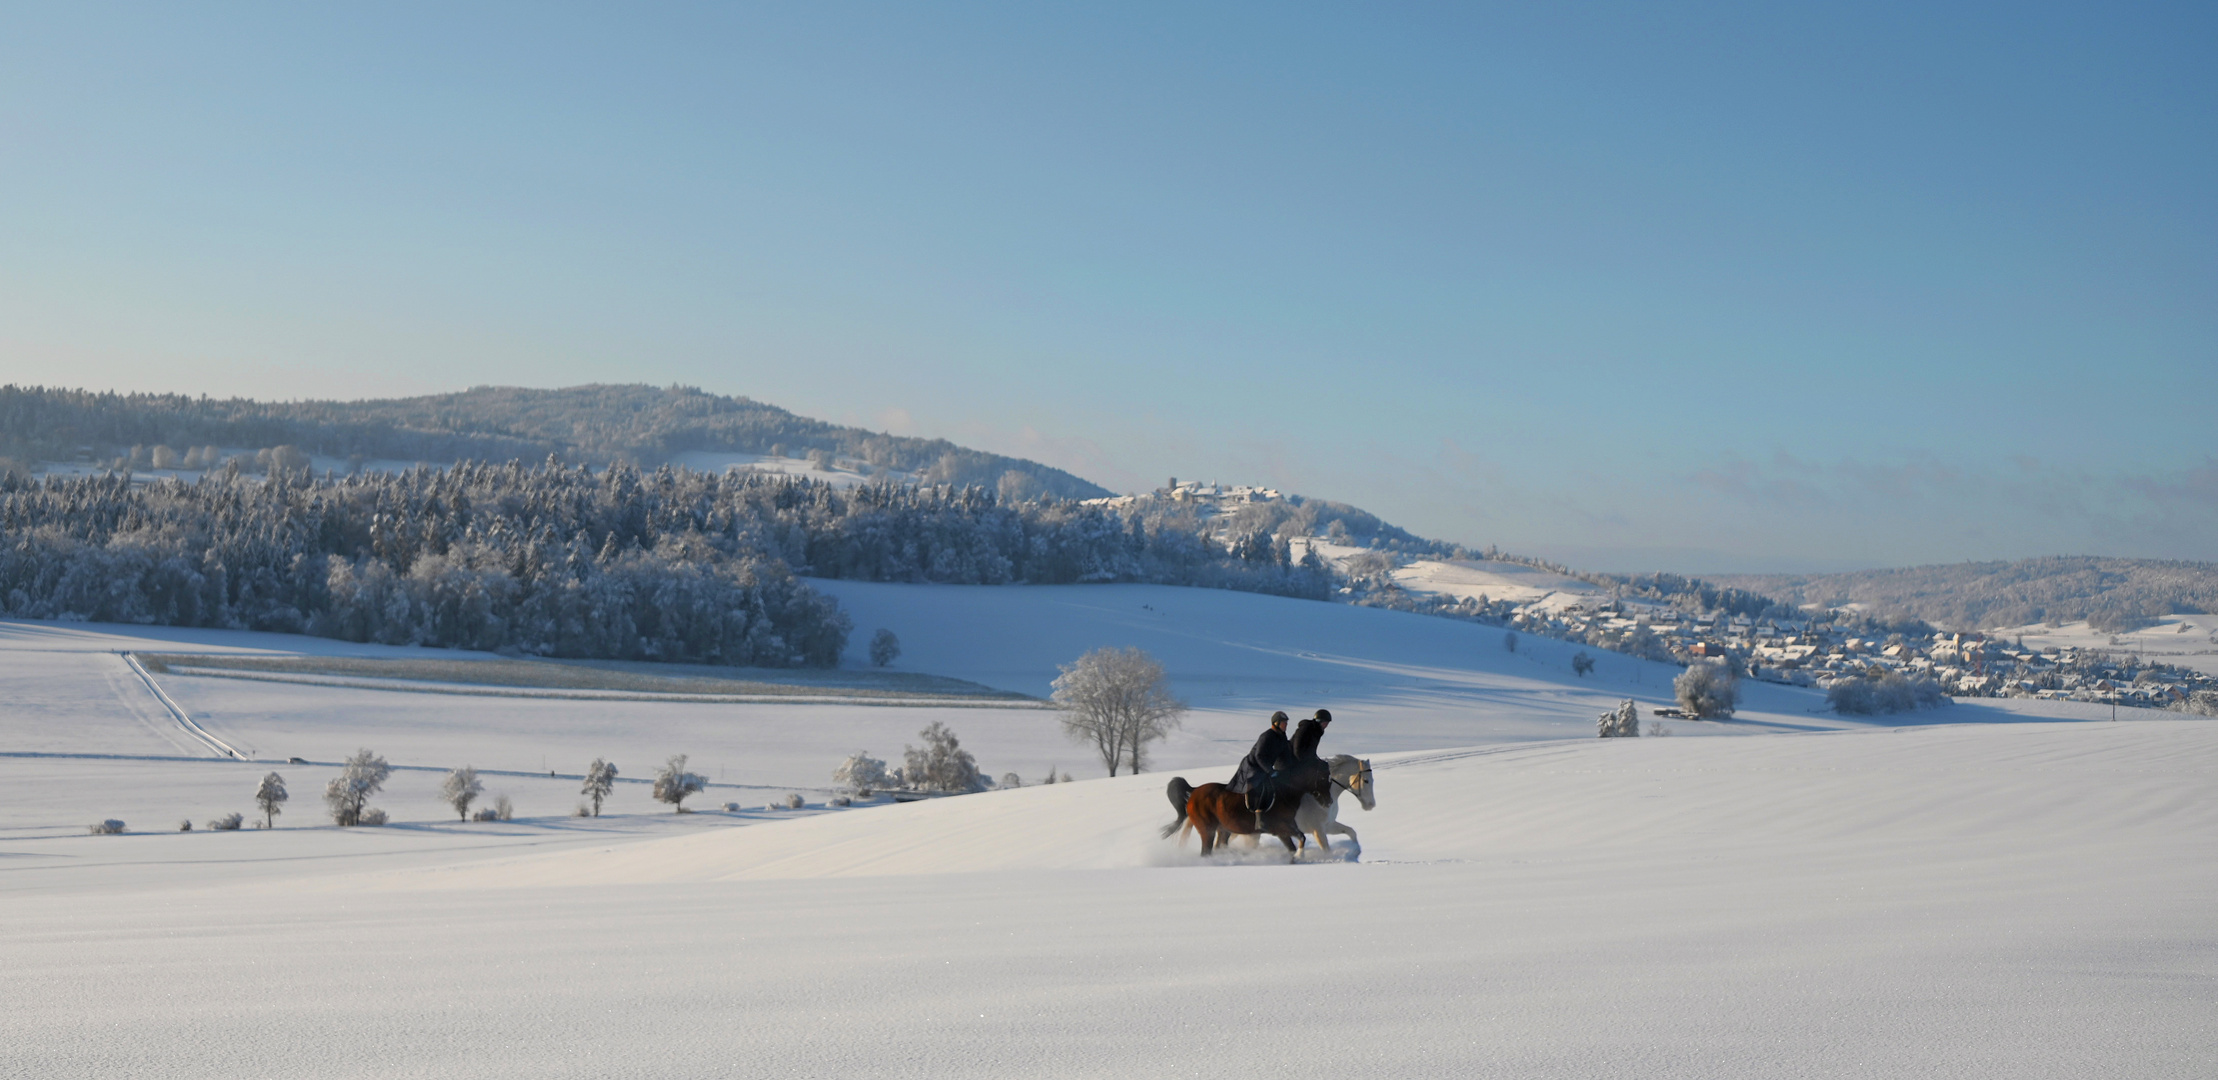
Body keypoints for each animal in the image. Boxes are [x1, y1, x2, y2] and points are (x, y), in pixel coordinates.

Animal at [1153, 780, 1304, 856]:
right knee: (1206, 851)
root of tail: (1194, 790)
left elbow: (1294, 844)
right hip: (1208, 830)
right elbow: (1298, 840)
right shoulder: (1280, 828)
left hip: (1223, 830)